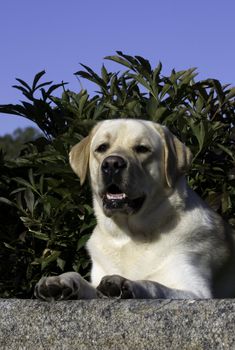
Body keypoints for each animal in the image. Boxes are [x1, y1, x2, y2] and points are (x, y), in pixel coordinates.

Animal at [35, 119, 235, 300]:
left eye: (142, 149)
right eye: (102, 147)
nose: (112, 164)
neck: (130, 236)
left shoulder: (194, 291)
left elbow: (154, 284)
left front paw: (126, 283)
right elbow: (81, 280)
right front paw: (60, 281)